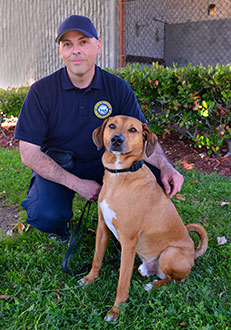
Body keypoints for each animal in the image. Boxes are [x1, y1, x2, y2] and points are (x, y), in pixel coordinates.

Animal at [79, 115, 208, 320]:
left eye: (133, 130)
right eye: (112, 125)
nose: (116, 139)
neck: (121, 175)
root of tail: (193, 254)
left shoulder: (129, 239)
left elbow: (122, 284)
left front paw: (116, 311)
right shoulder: (103, 228)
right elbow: (97, 259)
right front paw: (90, 279)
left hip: (169, 253)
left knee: (175, 279)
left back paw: (152, 285)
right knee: (135, 267)